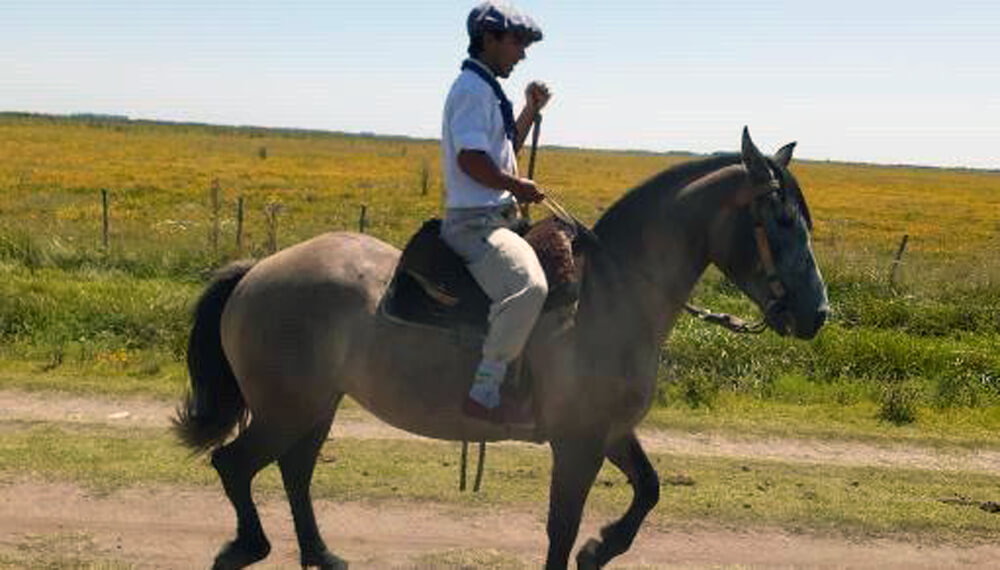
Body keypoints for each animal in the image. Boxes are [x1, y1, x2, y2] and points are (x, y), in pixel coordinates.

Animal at [174, 129, 828, 568]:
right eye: (782, 219)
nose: (817, 314)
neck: (611, 293)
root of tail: (260, 270)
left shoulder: (611, 432)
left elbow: (648, 490)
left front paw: (601, 548)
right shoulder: (578, 443)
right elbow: (562, 526)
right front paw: (589, 546)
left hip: (315, 407)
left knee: (294, 471)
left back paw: (319, 553)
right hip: (289, 409)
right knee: (236, 464)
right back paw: (249, 546)